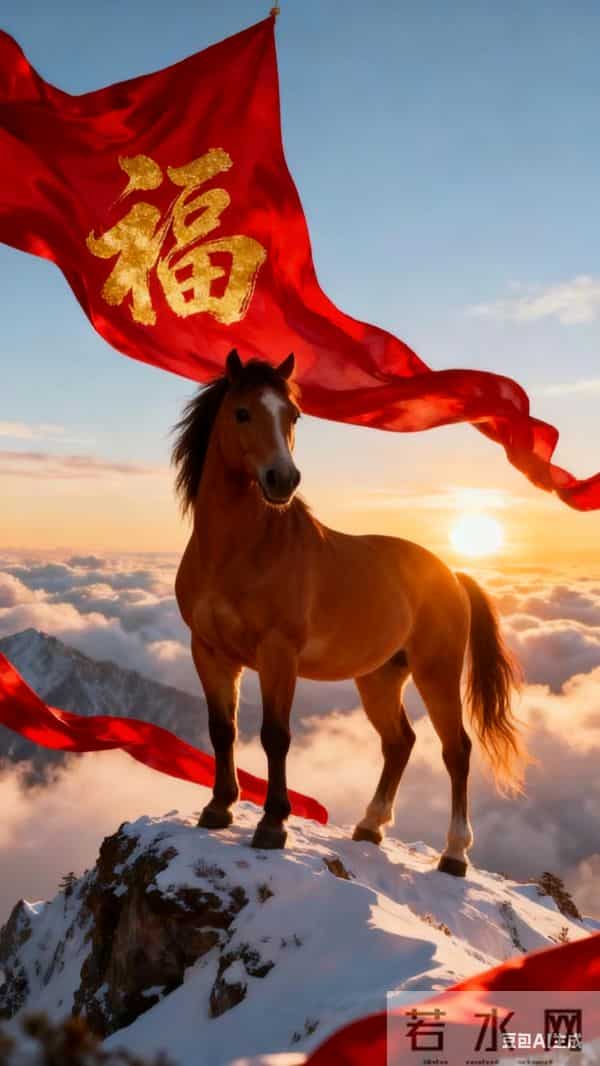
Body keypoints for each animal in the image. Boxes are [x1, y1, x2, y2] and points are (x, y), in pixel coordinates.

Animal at [173, 349, 527, 875]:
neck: (238, 553)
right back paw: (370, 826)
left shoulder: (278, 655)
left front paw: (272, 824)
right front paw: (218, 808)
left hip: (437, 674)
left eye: (293, 415)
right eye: (241, 412)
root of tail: (451, 574)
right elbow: (223, 729)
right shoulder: (210, 651)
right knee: (400, 742)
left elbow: (275, 735)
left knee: (456, 750)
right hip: (379, 678)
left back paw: (454, 853)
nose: (283, 479)